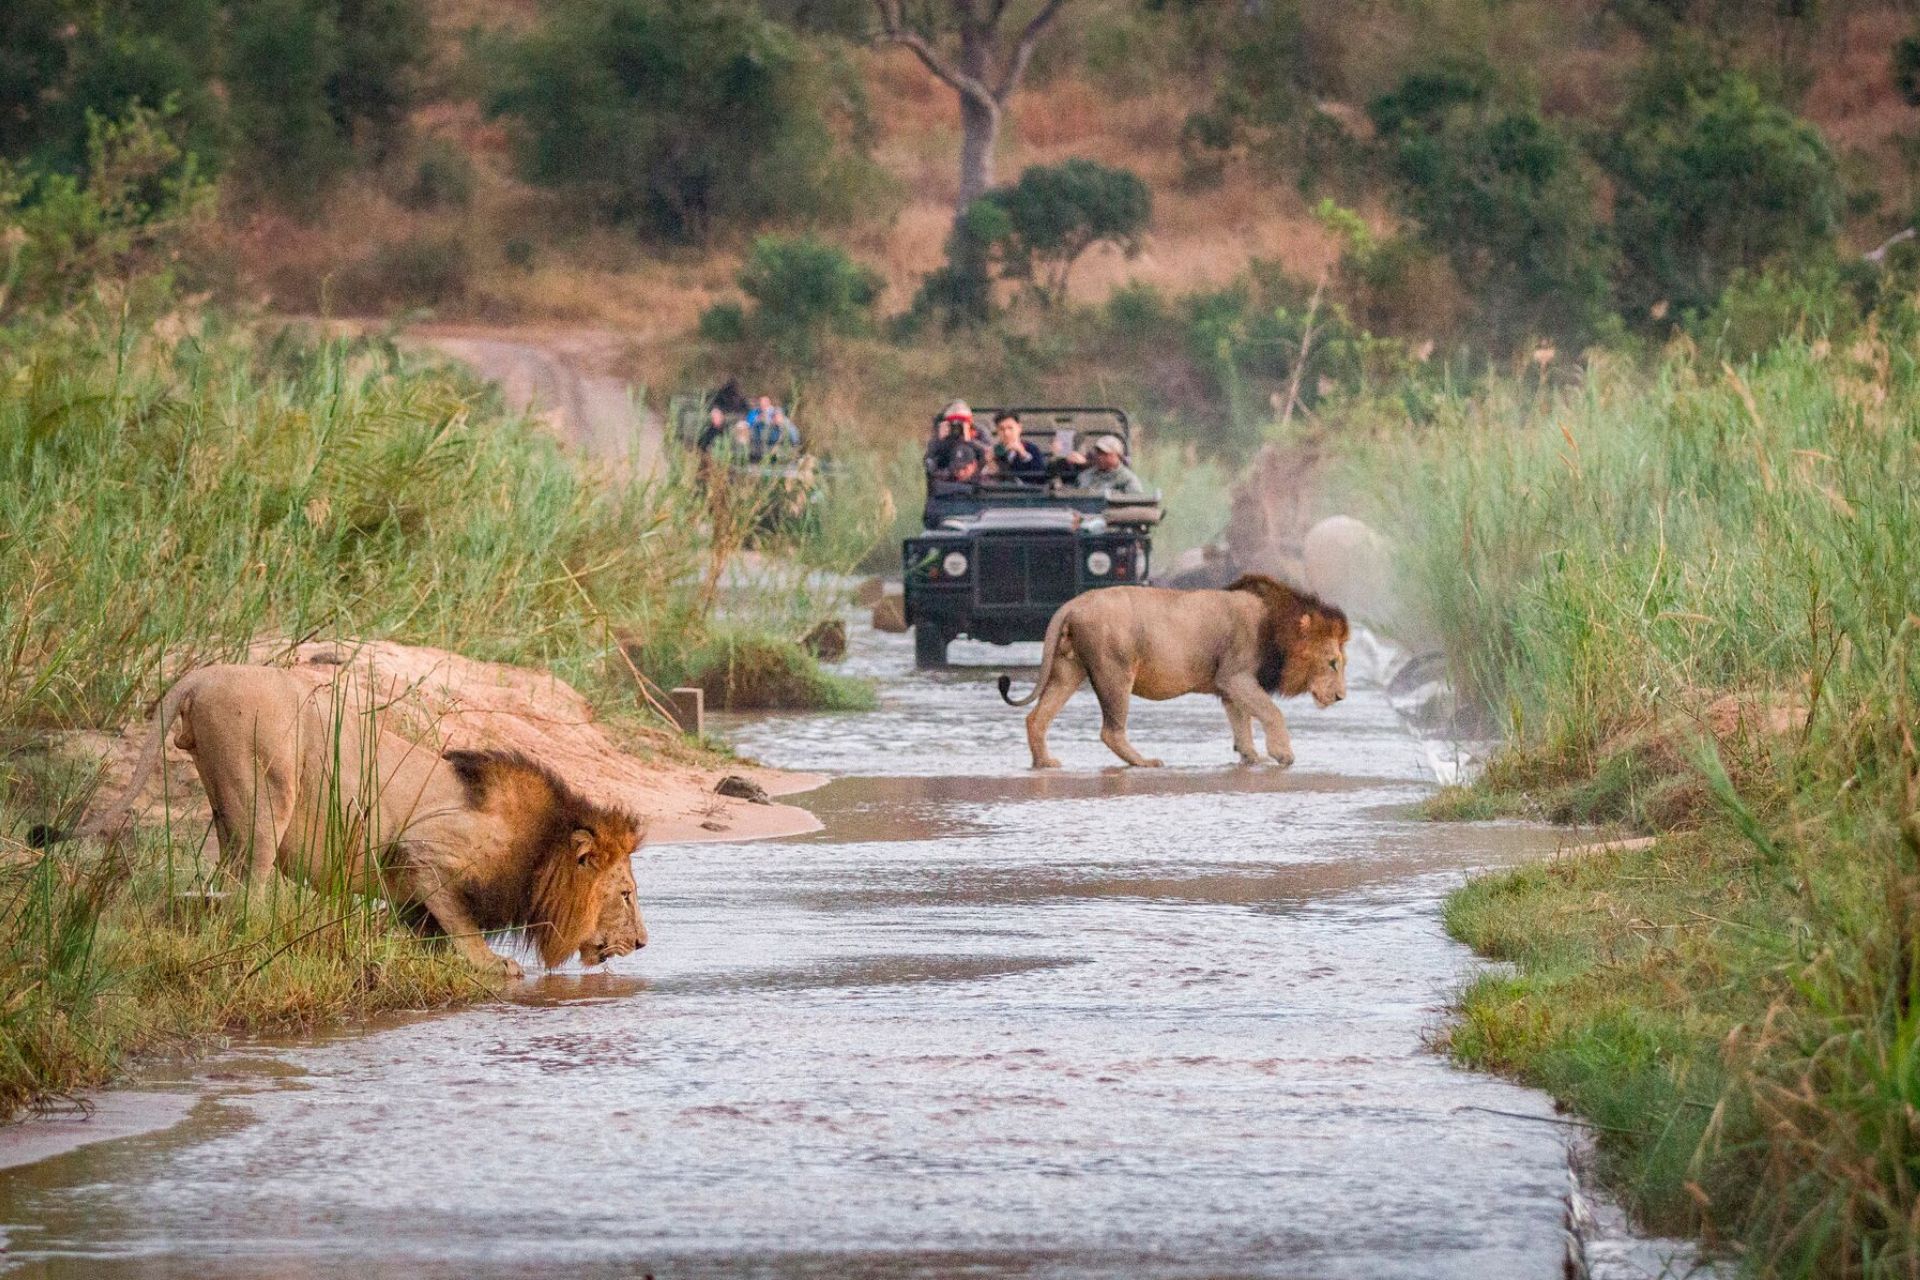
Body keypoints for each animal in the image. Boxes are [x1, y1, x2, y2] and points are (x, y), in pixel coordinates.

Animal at [72, 664, 645, 977]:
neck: (541, 849)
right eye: (626, 895)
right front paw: (491, 964)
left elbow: (423, 925)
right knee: (248, 892)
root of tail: (201, 675)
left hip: (229, 807)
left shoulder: (414, 888)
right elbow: (460, 924)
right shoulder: (424, 849)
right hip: (266, 793)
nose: (643, 944)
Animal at [997, 576, 1350, 769]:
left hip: (1068, 669)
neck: (1277, 626)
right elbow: (1271, 712)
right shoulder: (1235, 676)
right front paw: (1283, 754)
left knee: (1036, 717)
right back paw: (1144, 762)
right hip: (1115, 671)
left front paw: (1251, 757)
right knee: (1110, 730)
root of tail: (1072, 604)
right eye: (1333, 662)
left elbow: (1242, 723)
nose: (1341, 697)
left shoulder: (1230, 687)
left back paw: (1044, 762)